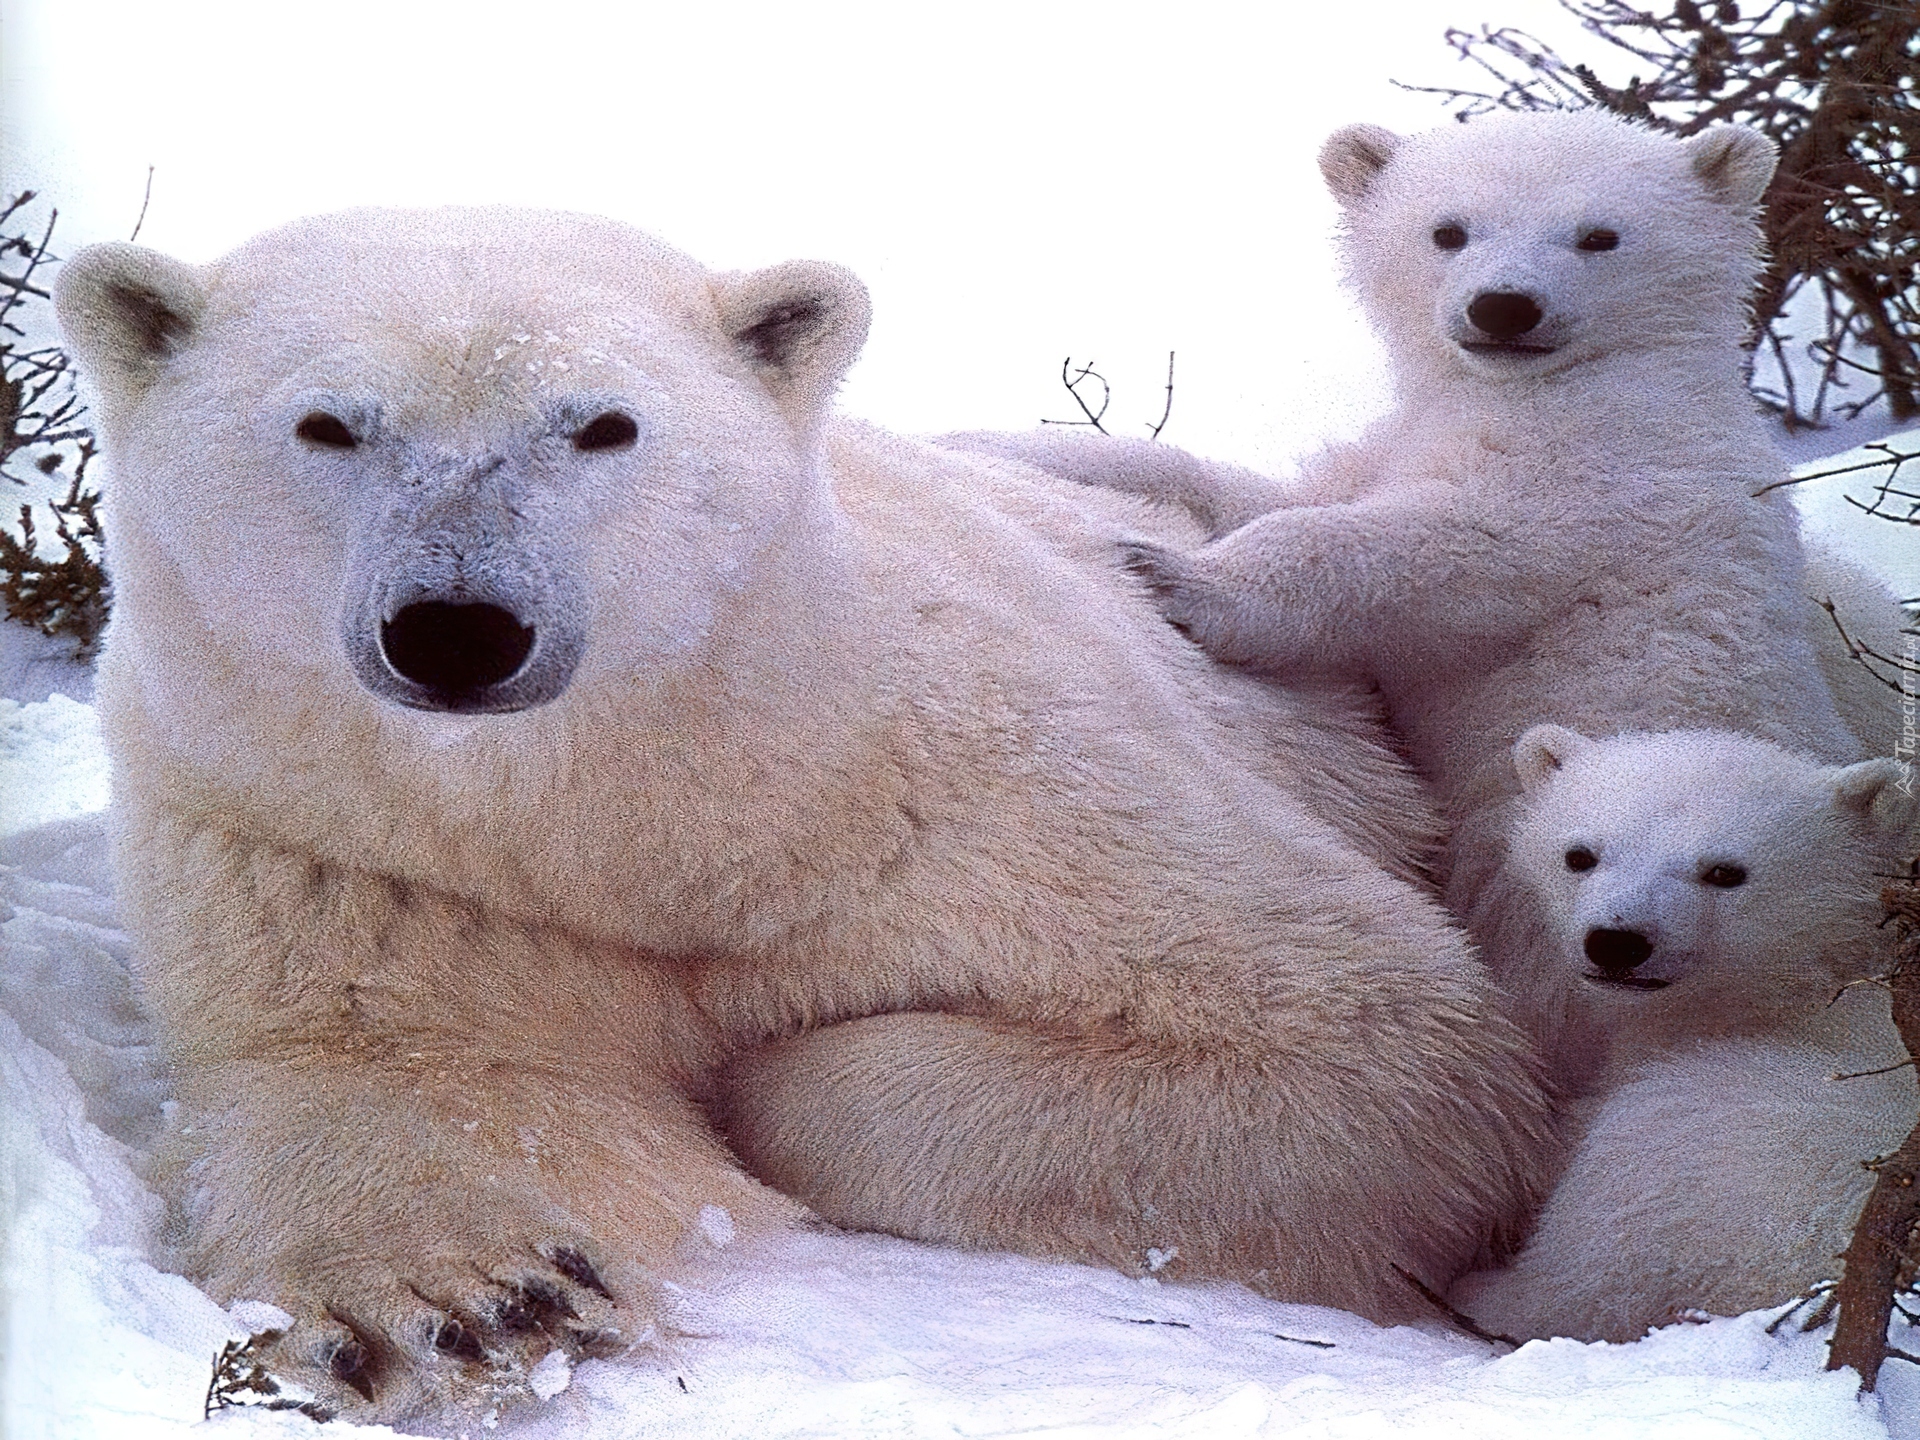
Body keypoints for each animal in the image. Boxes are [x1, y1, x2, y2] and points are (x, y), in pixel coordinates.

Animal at [56, 208, 1559, 1428]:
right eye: (328, 424)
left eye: (602, 424)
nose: (458, 629)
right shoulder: (330, 843)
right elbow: (389, 1066)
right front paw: (469, 1302)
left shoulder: (966, 784)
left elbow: (1376, 1041)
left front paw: (756, 1072)